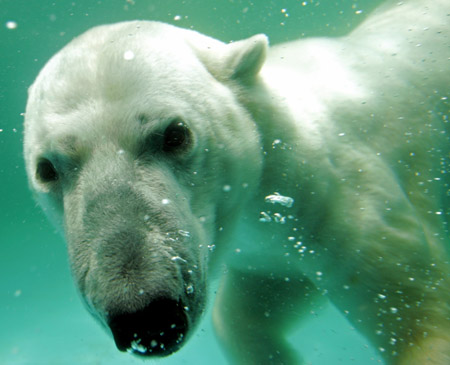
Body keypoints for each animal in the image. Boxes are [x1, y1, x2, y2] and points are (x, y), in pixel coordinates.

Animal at [24, 0, 450, 362]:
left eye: (176, 134)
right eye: (46, 169)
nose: (146, 317)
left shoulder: (336, 197)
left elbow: (419, 318)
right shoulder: (268, 246)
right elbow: (251, 307)